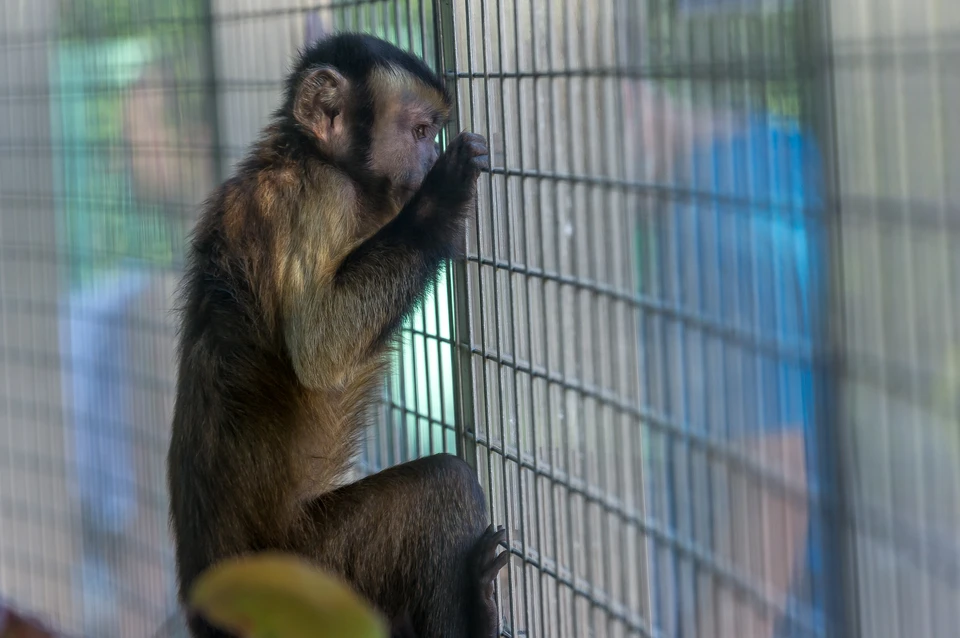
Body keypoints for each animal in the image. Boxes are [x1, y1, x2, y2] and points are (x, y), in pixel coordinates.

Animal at [167, 31, 510, 638]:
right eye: (421, 132)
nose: (429, 160)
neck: (303, 155)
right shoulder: (319, 198)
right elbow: (321, 349)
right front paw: (440, 201)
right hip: (306, 582)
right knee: (443, 483)